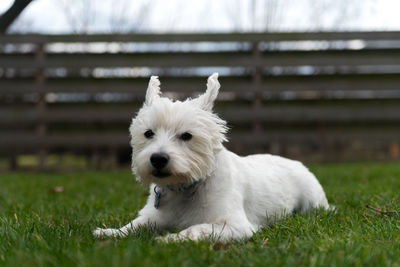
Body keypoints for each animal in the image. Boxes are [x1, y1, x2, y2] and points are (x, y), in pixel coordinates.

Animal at [93, 74, 328, 243]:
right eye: (148, 133)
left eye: (187, 136)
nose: (158, 159)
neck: (186, 187)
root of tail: (296, 162)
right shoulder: (154, 216)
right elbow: (135, 225)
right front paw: (110, 232)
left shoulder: (234, 225)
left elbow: (197, 229)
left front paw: (170, 238)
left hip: (312, 201)